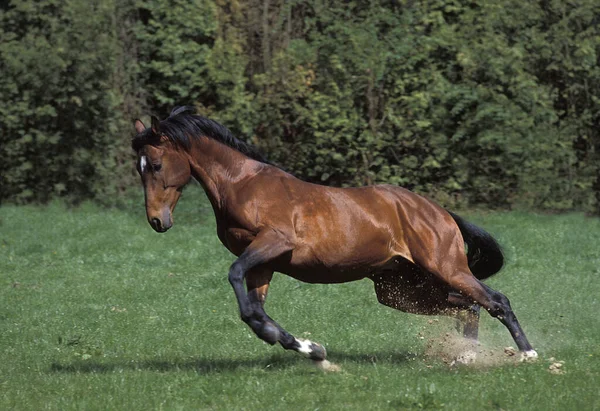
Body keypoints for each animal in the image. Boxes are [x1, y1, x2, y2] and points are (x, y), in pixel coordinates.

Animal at [131, 106, 540, 366]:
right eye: (139, 168)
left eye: (155, 165)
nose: (157, 221)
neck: (243, 185)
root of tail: (438, 212)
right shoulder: (264, 263)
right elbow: (255, 311)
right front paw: (309, 349)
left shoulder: (273, 243)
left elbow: (236, 281)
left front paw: (303, 346)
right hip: (400, 288)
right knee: (468, 305)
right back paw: (466, 354)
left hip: (445, 268)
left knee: (495, 300)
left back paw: (527, 354)